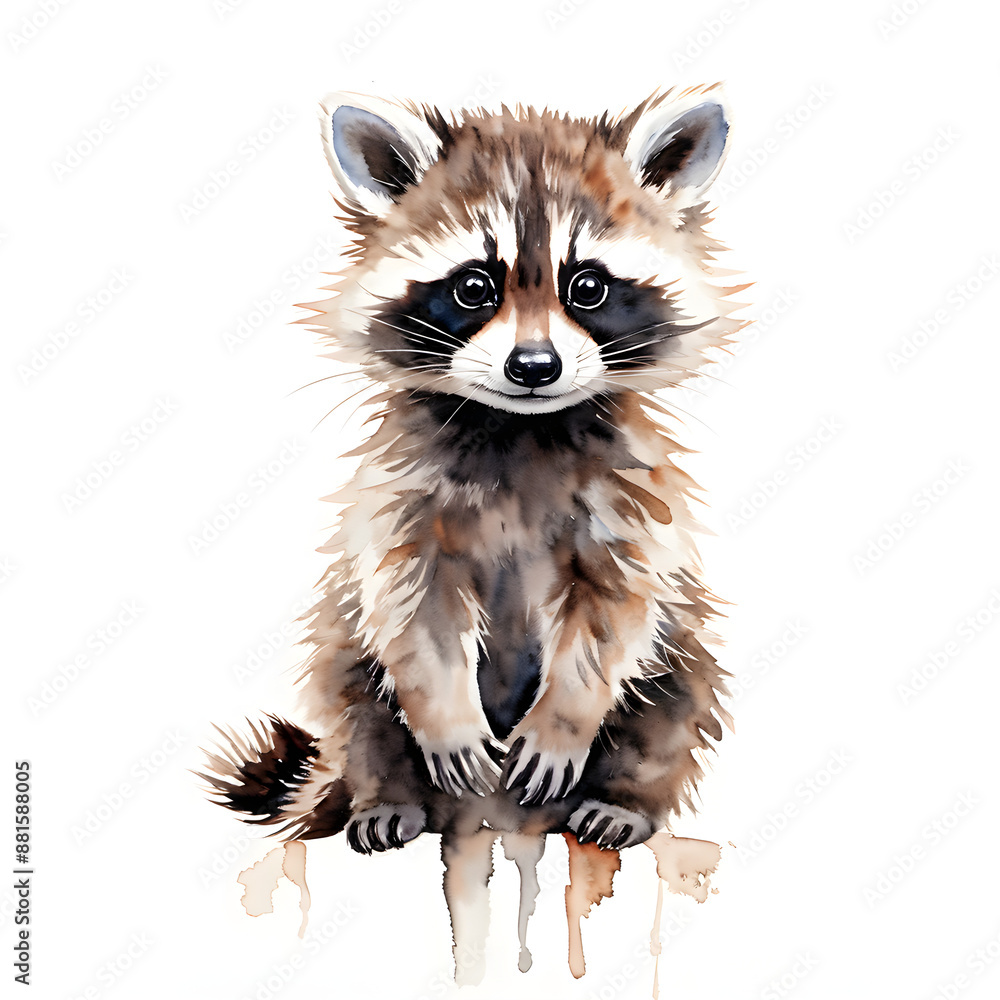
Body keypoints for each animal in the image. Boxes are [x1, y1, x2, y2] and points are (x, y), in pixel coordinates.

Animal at [204, 86, 744, 857]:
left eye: (587, 286)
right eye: (473, 288)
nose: (534, 366)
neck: (519, 427)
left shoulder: (627, 493)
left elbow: (616, 610)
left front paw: (565, 718)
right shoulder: (403, 490)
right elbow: (410, 608)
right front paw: (447, 718)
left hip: (682, 655)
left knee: (679, 684)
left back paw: (625, 798)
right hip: (345, 658)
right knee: (354, 688)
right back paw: (386, 793)